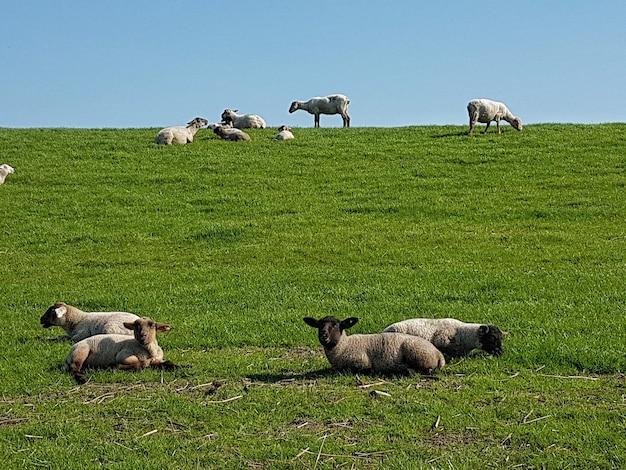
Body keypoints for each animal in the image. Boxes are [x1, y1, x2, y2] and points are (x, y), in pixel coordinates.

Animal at [304, 314, 444, 376]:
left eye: (335, 325)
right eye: (319, 325)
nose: (324, 335)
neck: (344, 346)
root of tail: (439, 355)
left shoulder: (362, 362)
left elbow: (351, 370)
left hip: (418, 354)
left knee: (426, 370)